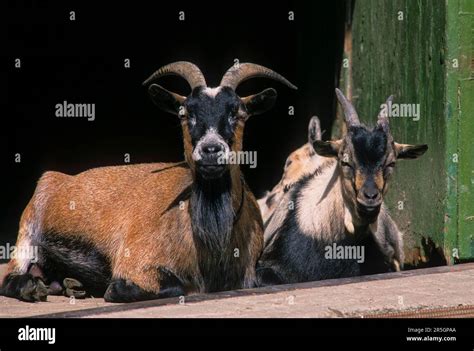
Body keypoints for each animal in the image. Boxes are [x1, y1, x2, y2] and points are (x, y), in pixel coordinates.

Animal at [0, 60, 296, 302]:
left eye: (238, 113)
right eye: (186, 113)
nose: (211, 150)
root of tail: (56, 178)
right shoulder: (135, 264)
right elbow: (165, 286)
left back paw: (71, 285)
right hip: (28, 229)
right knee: (9, 278)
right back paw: (34, 287)